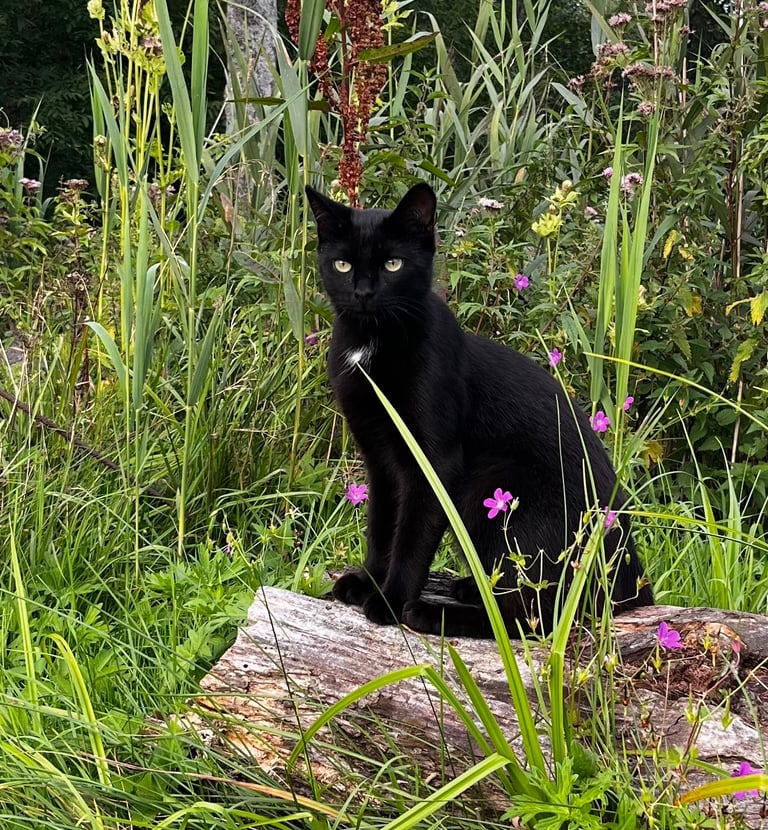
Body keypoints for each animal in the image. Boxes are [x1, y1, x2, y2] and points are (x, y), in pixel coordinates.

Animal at [306, 182, 653, 638]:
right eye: (343, 265)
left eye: (394, 264)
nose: (363, 293)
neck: (371, 344)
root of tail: (632, 582)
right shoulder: (379, 457)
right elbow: (382, 525)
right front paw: (369, 580)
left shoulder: (434, 461)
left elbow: (411, 536)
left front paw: (389, 600)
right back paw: (470, 588)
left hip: (495, 490)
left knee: (534, 616)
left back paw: (430, 613)